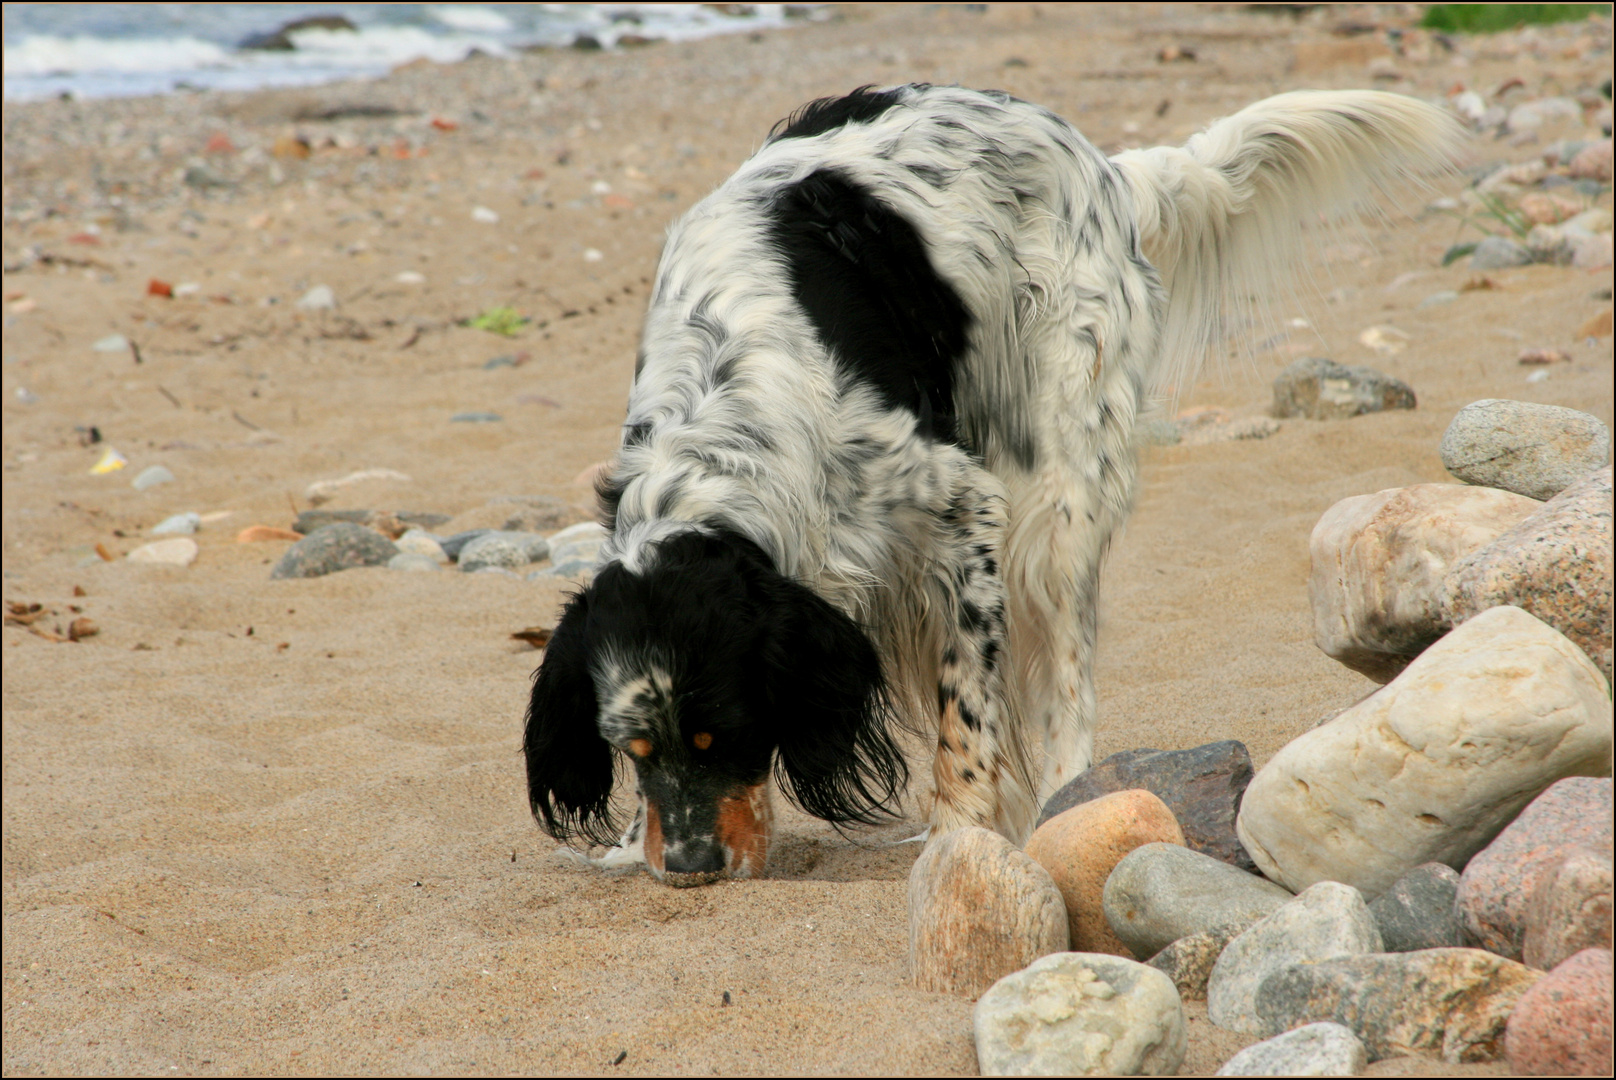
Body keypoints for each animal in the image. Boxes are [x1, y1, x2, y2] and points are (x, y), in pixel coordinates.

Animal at [523, 80, 1460, 879]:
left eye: (727, 734)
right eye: (633, 751)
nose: (690, 869)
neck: (724, 419)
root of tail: (1106, 168)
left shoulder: (962, 508)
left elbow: (965, 710)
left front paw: (961, 828)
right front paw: (631, 841)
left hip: (1061, 492)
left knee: (1067, 681)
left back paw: (1065, 798)